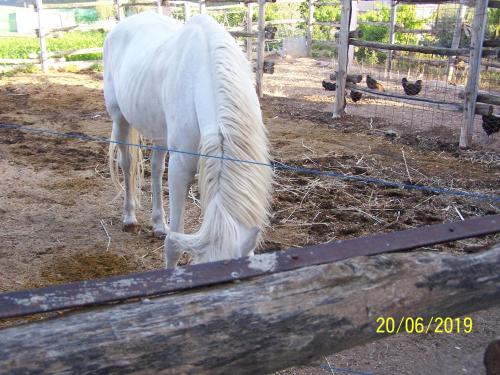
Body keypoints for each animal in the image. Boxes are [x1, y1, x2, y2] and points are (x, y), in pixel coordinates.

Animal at [103, 11, 272, 268]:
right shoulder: (181, 169)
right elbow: (173, 244)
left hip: (161, 132)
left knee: (155, 167)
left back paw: (158, 224)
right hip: (120, 118)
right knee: (128, 163)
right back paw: (130, 218)